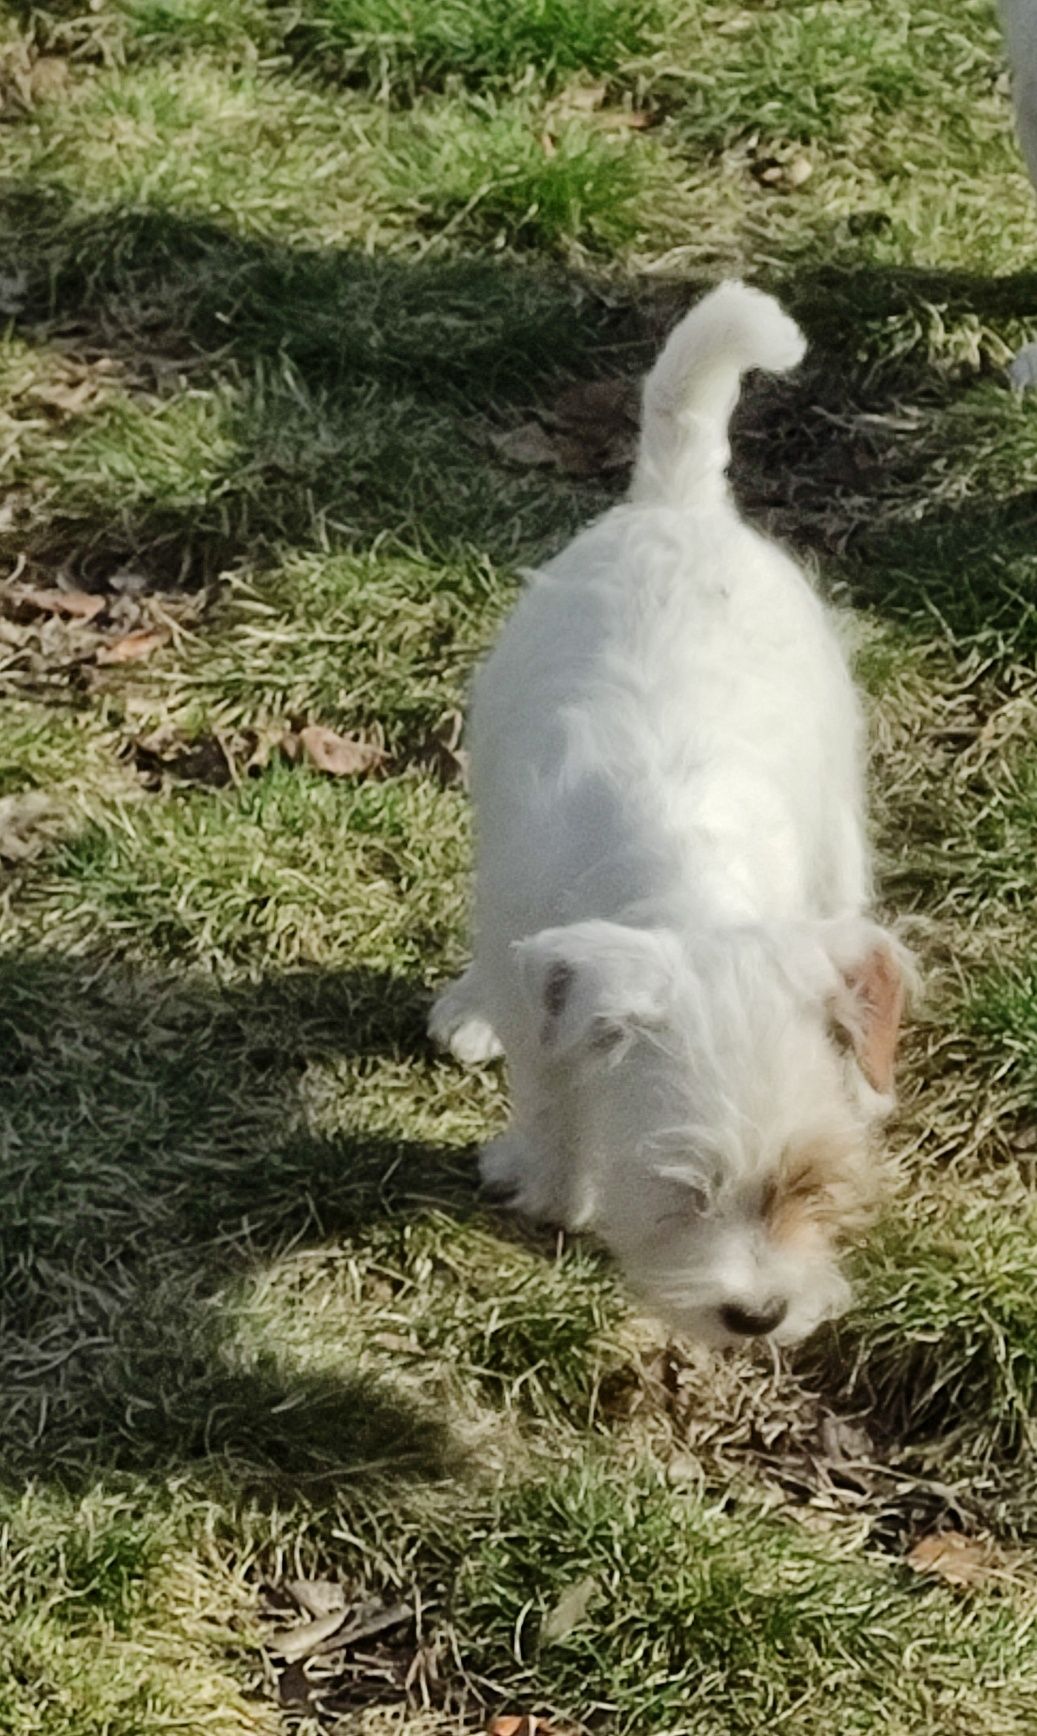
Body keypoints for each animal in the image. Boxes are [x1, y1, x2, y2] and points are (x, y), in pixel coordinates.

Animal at [432, 281, 903, 1340]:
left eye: (807, 1184)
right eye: (686, 1187)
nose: (758, 1316)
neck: (686, 878)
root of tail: (677, 500)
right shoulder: (538, 965)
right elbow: (548, 1090)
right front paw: (549, 1182)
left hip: (838, 819)